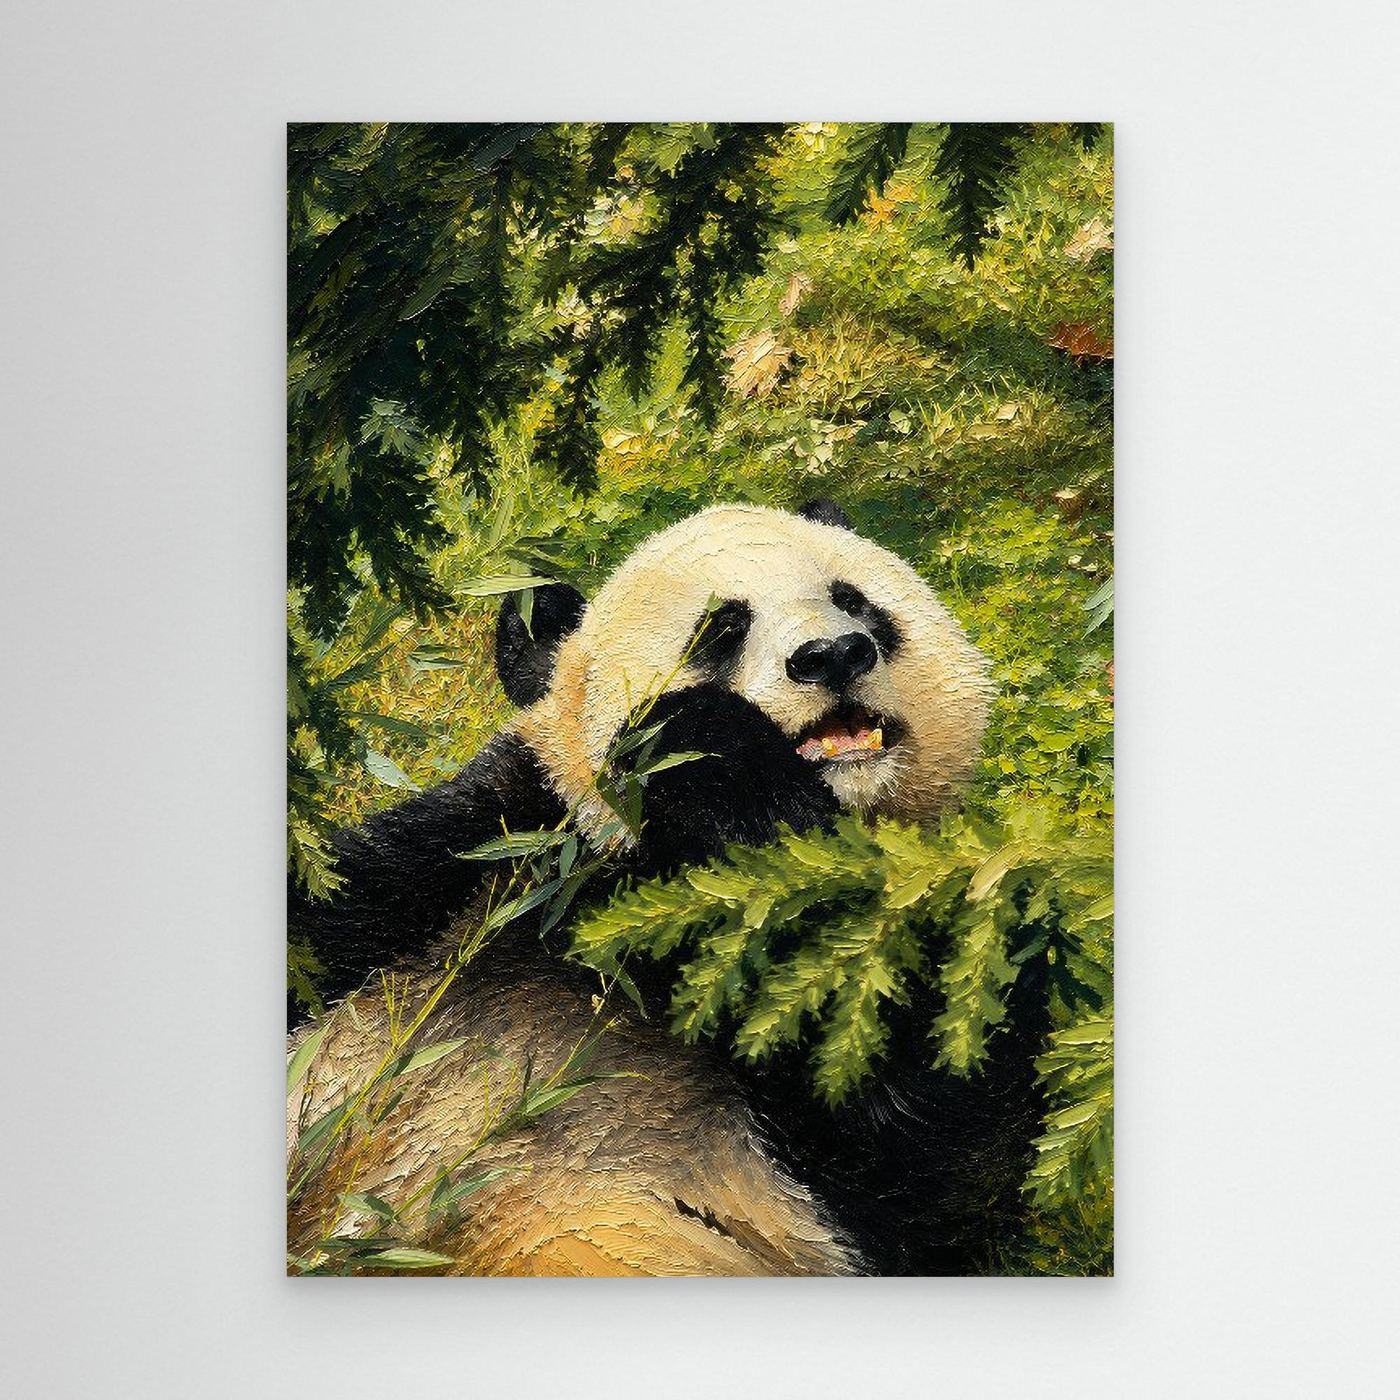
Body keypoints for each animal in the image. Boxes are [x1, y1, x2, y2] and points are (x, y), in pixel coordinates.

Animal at [288, 501, 1047, 1276]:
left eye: (855, 600)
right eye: (721, 627)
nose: (834, 652)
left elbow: (914, 1140)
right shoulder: (485, 848)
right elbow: (325, 920)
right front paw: (702, 740)